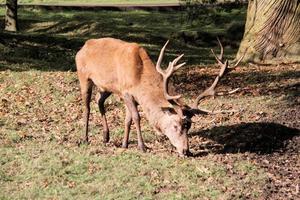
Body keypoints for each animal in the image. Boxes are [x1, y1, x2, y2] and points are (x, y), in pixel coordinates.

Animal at [75, 37, 241, 156]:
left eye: (189, 126)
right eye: (175, 126)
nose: (186, 151)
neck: (139, 78)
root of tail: (82, 48)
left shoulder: (126, 93)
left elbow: (128, 120)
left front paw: (124, 144)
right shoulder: (126, 91)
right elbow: (136, 117)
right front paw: (142, 146)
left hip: (106, 87)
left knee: (98, 100)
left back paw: (106, 136)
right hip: (83, 76)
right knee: (87, 106)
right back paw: (85, 138)